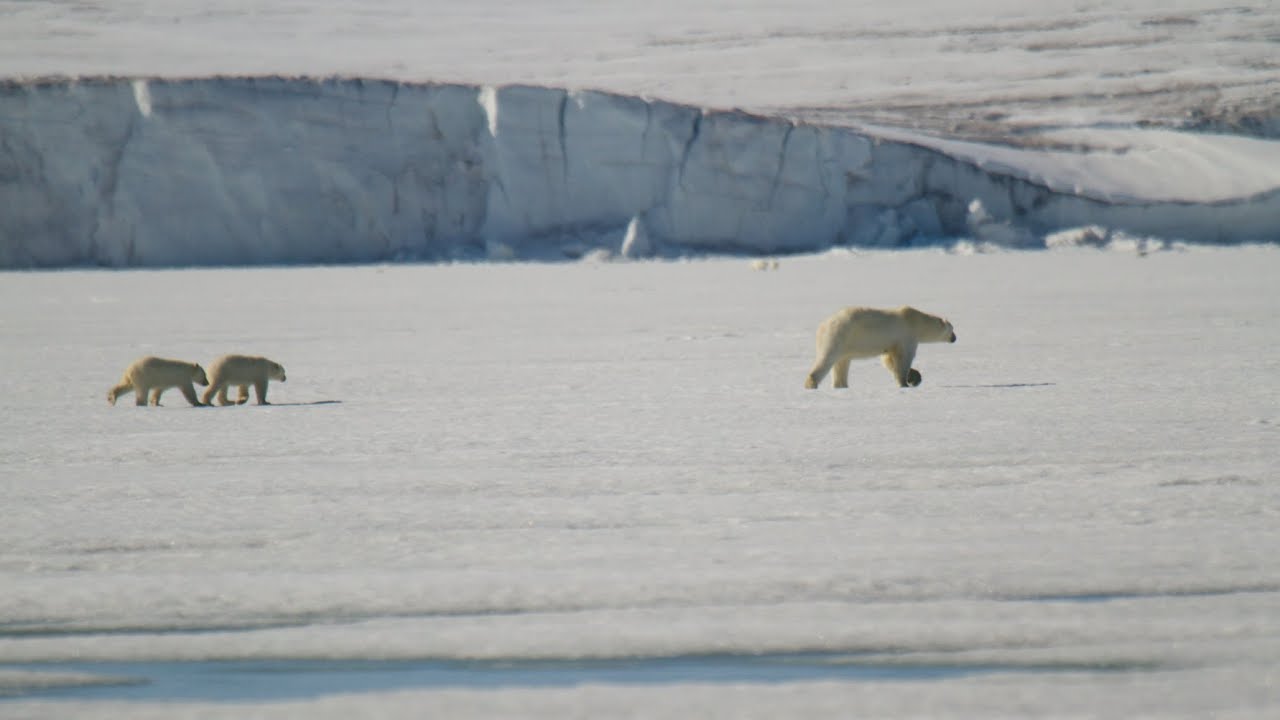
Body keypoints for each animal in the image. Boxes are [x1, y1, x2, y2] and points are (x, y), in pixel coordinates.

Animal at [804, 306, 956, 390]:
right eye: (952, 329)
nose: (955, 338)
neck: (915, 321)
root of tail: (822, 327)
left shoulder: (891, 343)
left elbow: (888, 360)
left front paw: (914, 377)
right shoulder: (906, 335)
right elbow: (903, 359)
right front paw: (905, 383)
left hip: (845, 344)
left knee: (841, 364)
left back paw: (842, 386)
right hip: (839, 335)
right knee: (827, 360)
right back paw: (811, 384)